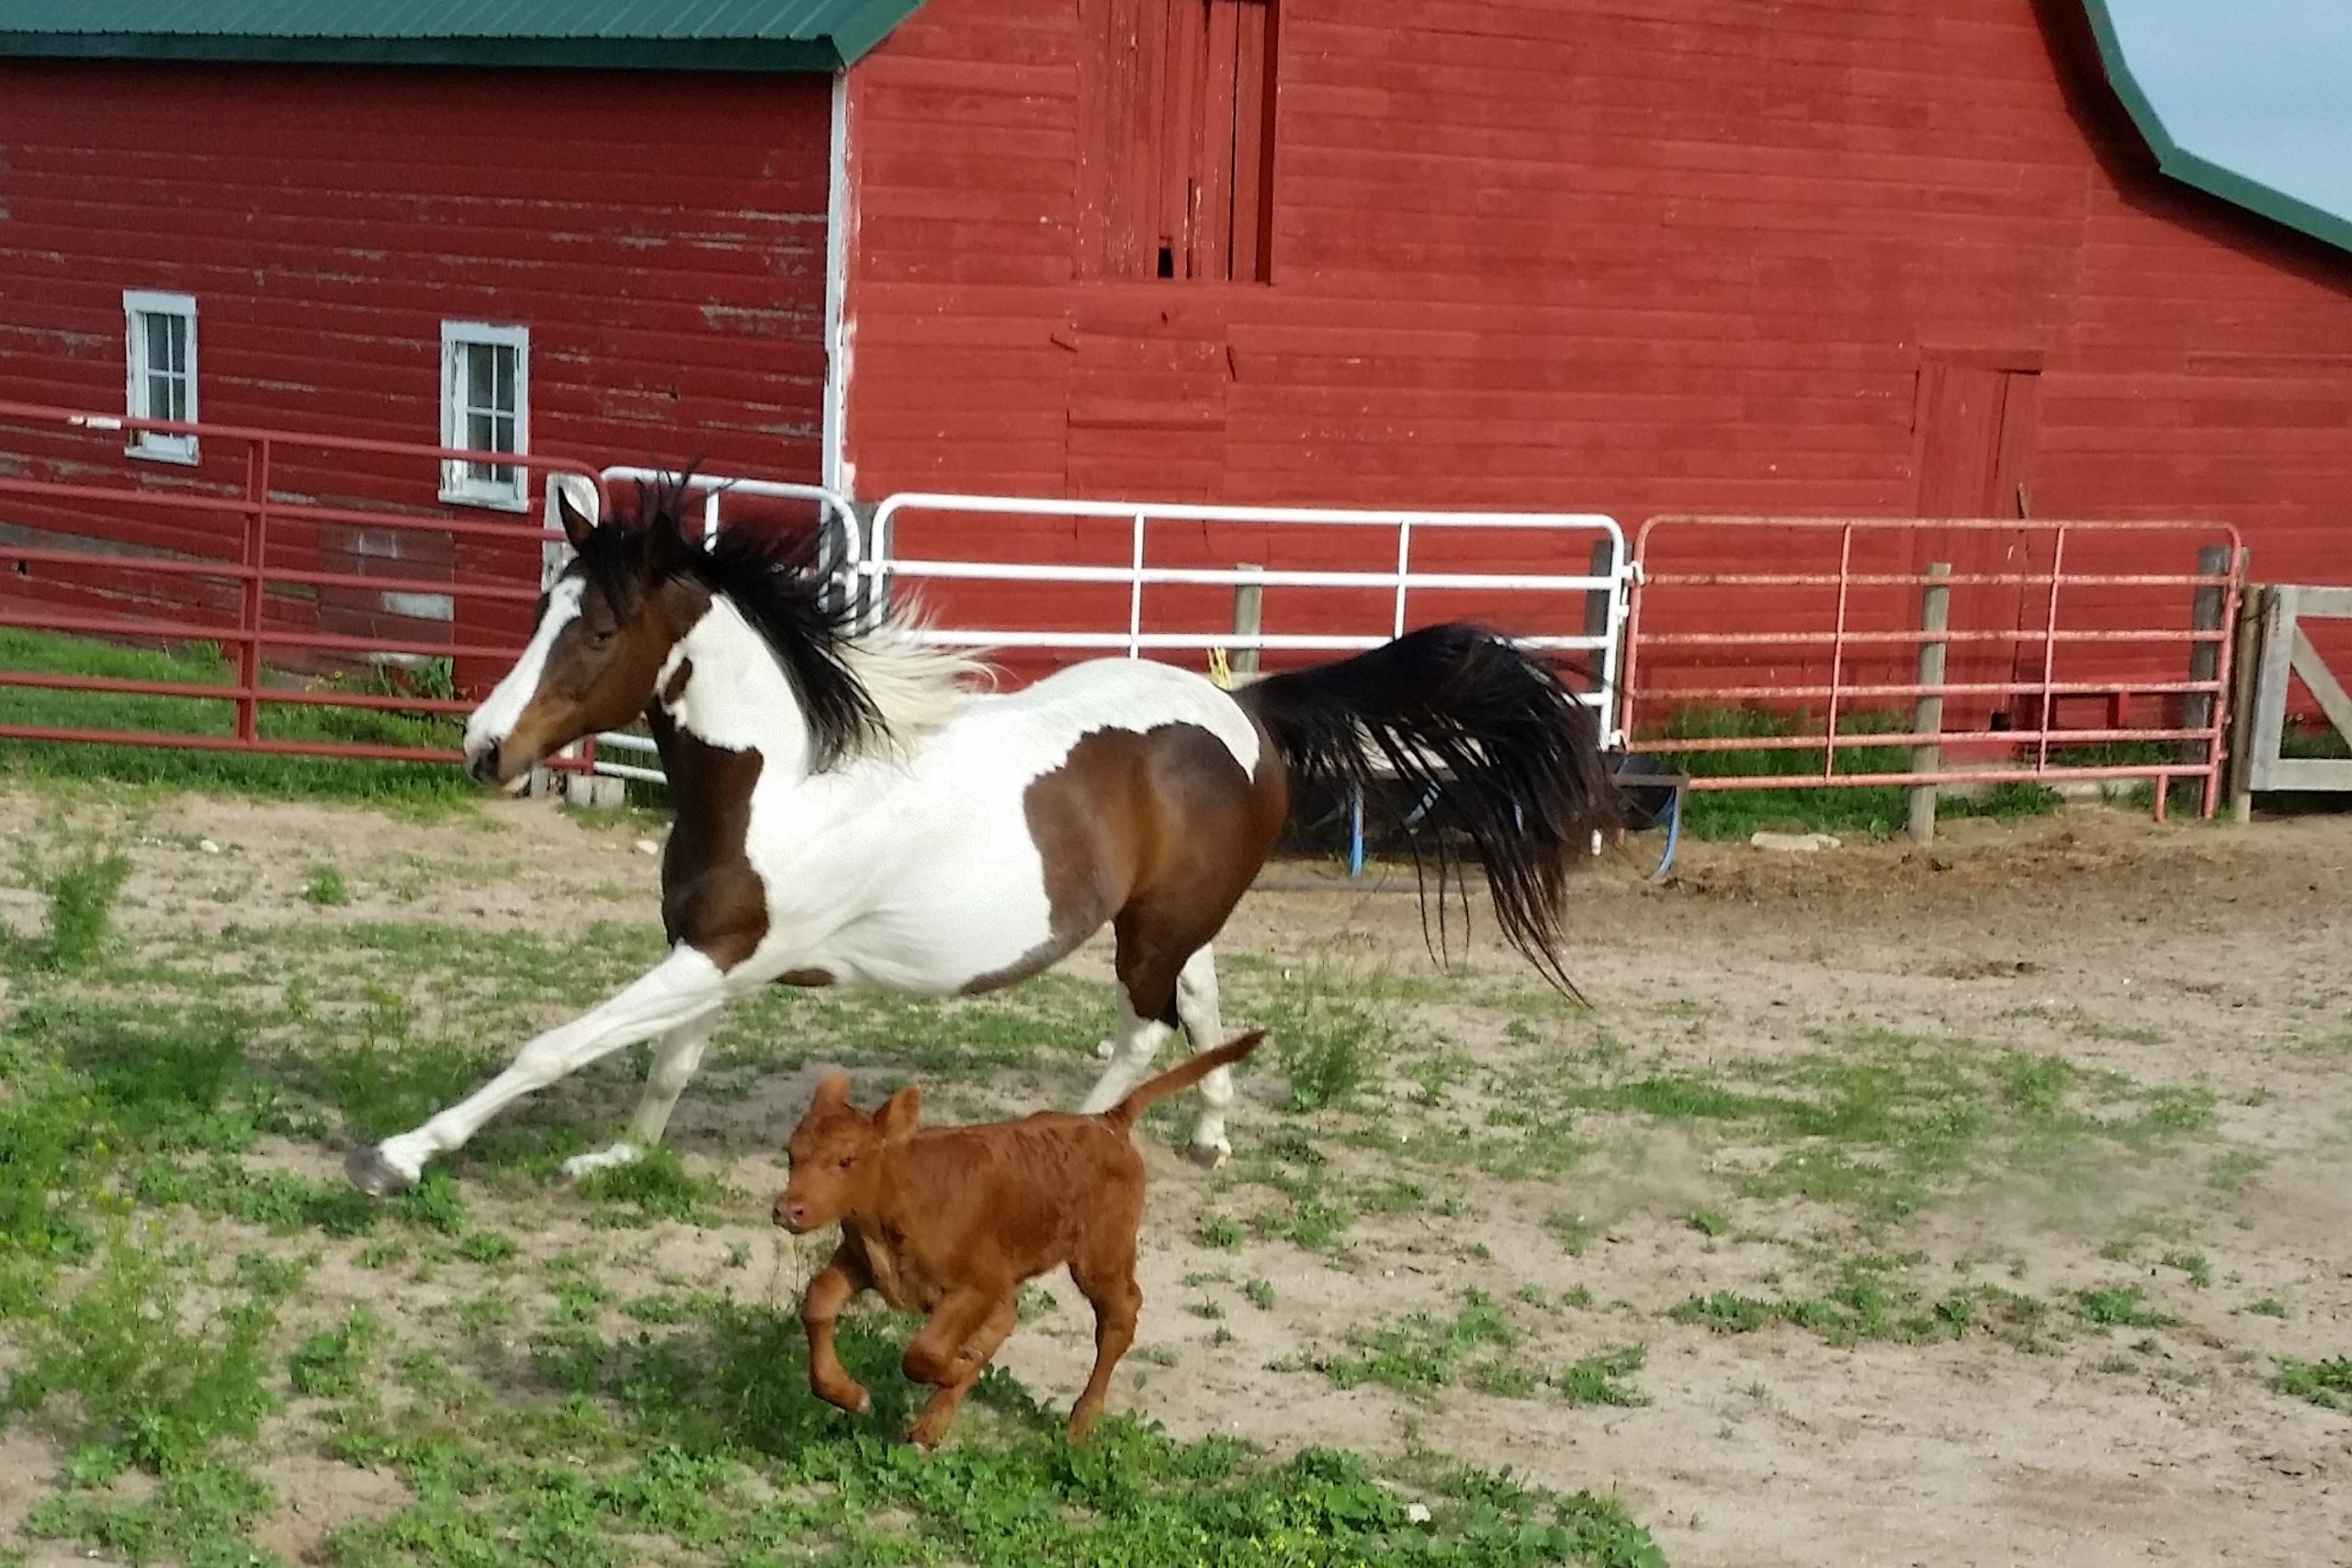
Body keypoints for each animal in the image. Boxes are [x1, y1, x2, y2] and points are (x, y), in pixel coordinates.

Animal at [343, 472, 1618, 1197]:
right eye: (540, 609)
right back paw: (1209, 1140)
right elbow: (667, 1062)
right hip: (1172, 918)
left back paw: (1089, 1137)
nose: (484, 750)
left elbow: (555, 1045)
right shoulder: (716, 958)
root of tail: (1246, 710)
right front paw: (617, 1157)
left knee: (1144, 1026)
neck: (788, 779)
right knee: (1202, 1008)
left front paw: (402, 1154)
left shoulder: (723, 955)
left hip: (1146, 935)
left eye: (599, 630)